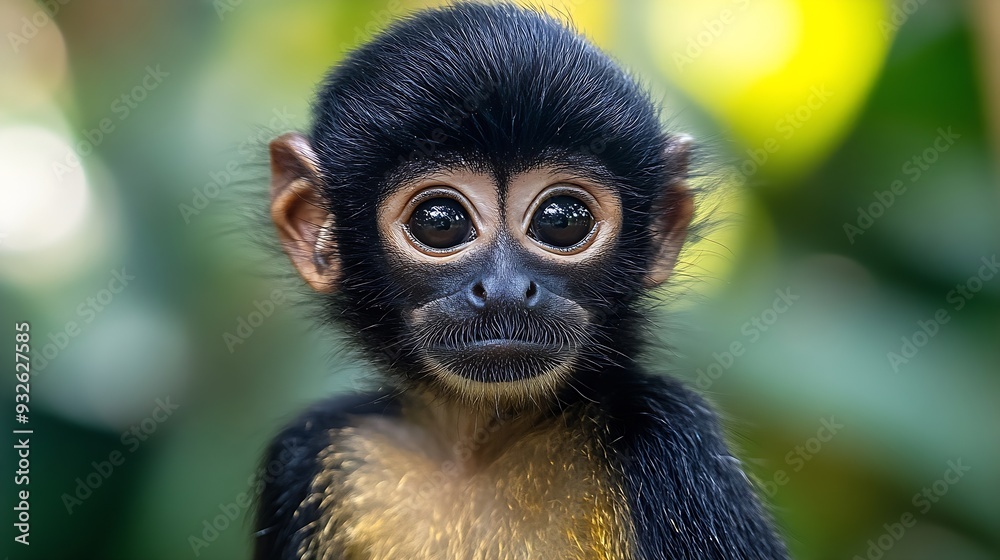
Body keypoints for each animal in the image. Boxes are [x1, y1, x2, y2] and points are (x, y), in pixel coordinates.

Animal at [254, 3, 789, 559]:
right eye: (439, 222)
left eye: (562, 219)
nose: (505, 288)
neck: (472, 452)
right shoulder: (319, 449)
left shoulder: (672, 436)